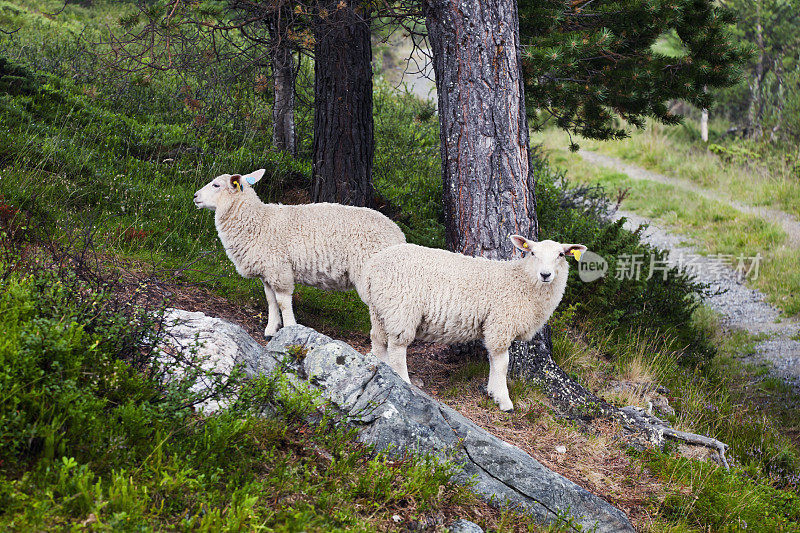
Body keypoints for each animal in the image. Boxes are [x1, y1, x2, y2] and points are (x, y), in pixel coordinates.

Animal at [195, 168, 406, 336]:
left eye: (216, 185)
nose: (195, 196)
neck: (259, 221)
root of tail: (399, 235)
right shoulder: (267, 272)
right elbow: (271, 301)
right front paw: (271, 329)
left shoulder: (279, 269)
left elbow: (282, 302)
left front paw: (289, 328)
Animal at [362, 236, 588, 412]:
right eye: (532, 253)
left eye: (561, 255)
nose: (545, 274)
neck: (522, 281)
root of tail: (372, 267)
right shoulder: (500, 322)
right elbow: (502, 363)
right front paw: (503, 400)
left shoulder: (495, 324)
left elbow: (493, 360)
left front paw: (492, 392)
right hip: (402, 308)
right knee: (397, 348)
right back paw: (403, 381)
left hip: (380, 308)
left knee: (378, 341)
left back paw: (383, 367)